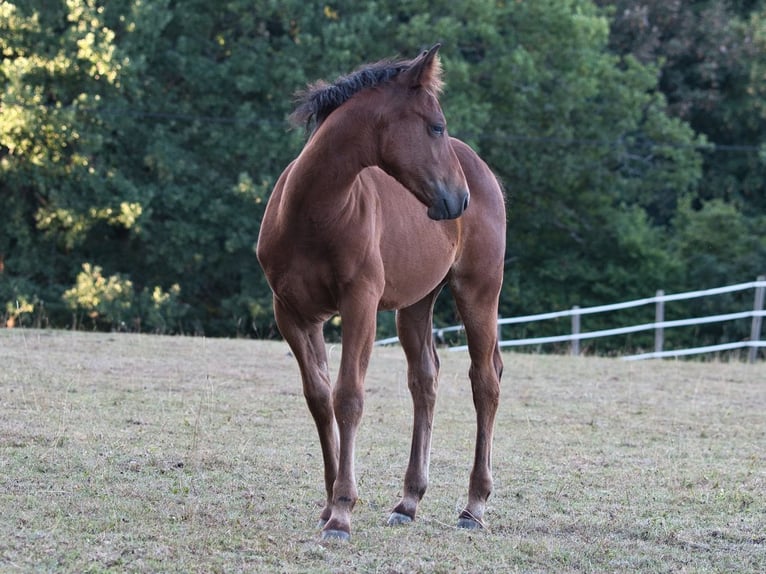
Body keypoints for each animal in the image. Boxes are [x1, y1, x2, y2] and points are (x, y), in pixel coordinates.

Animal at [256, 44, 505, 541]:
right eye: (436, 126)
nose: (459, 199)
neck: (312, 213)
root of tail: (483, 172)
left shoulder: (361, 304)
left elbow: (349, 397)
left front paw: (342, 512)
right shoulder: (292, 313)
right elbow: (319, 398)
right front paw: (329, 502)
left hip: (478, 293)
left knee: (484, 381)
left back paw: (473, 507)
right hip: (415, 305)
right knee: (424, 381)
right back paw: (408, 501)